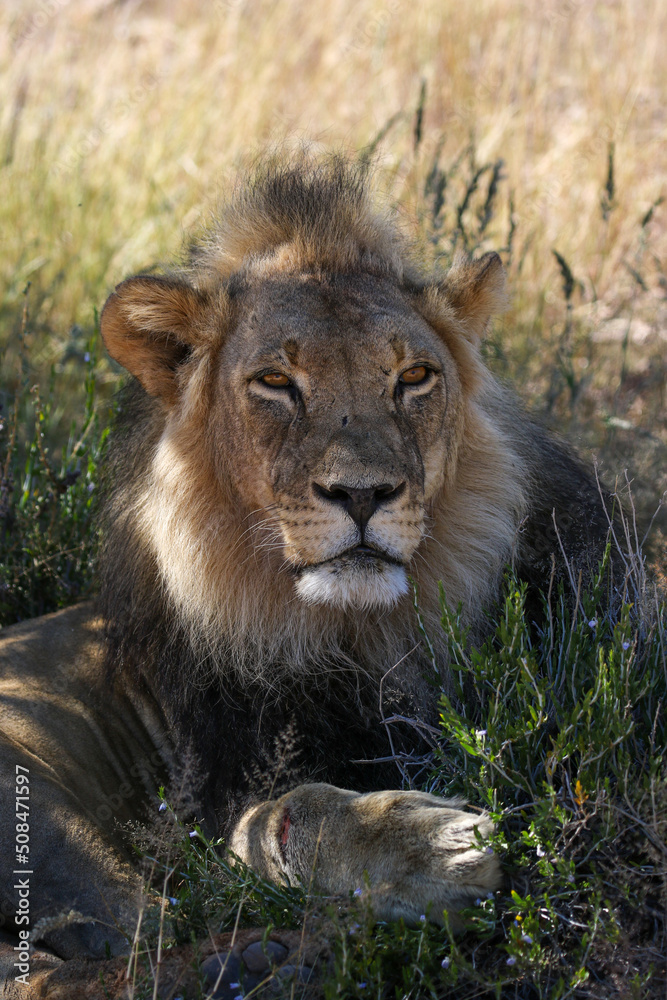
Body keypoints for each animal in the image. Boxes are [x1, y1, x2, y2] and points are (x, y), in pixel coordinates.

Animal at [0, 158, 614, 992]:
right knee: (118, 943)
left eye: (413, 376)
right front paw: (427, 848)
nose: (361, 493)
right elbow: (278, 816)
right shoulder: (213, 787)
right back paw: (268, 959)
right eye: (275, 382)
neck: (349, 632)